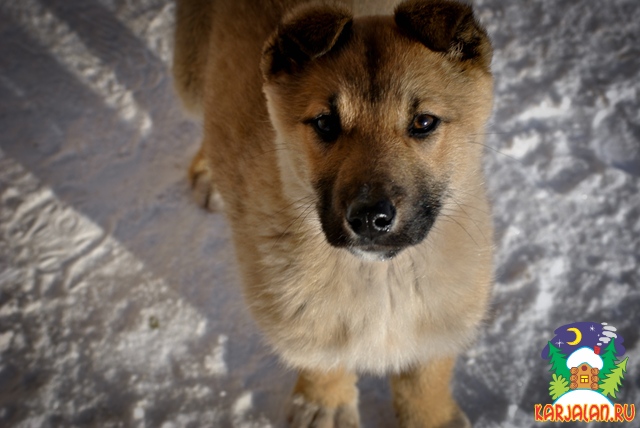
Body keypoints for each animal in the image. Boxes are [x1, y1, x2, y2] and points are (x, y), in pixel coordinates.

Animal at [172, 1, 492, 426]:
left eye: (423, 122)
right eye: (325, 122)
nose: (370, 218)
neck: (382, 278)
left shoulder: (441, 320)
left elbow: (426, 376)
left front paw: (432, 415)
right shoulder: (298, 320)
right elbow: (322, 360)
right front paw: (324, 404)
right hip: (191, 74)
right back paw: (208, 174)